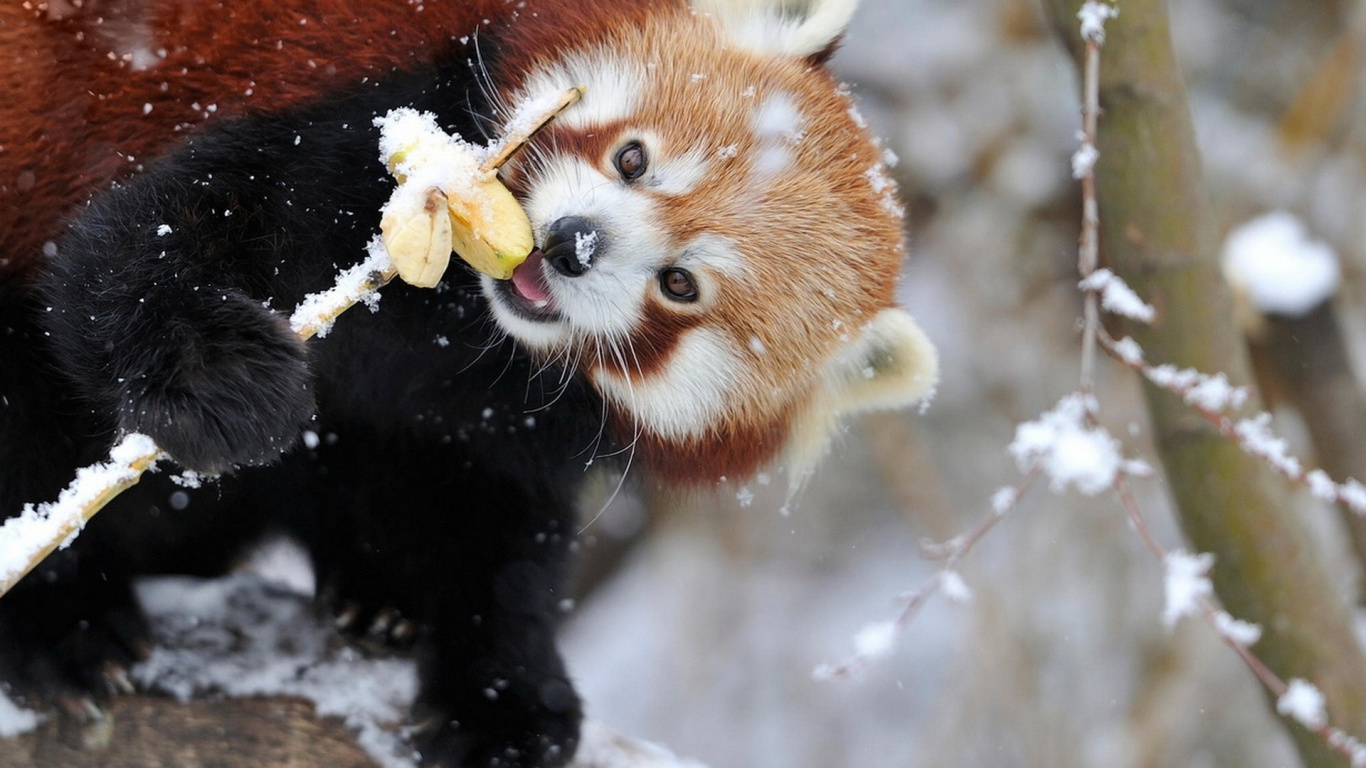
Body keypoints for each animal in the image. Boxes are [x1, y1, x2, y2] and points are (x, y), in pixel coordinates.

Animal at [0, 1, 928, 765]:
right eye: (634, 158)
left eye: (681, 285)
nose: (572, 243)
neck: (464, 327)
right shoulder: (372, 134)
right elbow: (146, 237)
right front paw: (220, 379)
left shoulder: (510, 422)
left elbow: (497, 531)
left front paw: (505, 699)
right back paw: (60, 624)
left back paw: (375, 591)